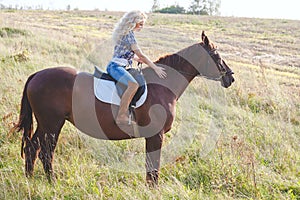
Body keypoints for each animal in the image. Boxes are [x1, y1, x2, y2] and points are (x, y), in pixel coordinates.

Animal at [14, 31, 234, 186]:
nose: (231, 77)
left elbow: (150, 167)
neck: (163, 84)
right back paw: (51, 181)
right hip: (52, 124)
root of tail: (37, 75)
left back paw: (30, 178)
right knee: (45, 152)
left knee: (32, 148)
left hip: (46, 124)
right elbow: (153, 168)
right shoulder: (156, 136)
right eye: (216, 55)